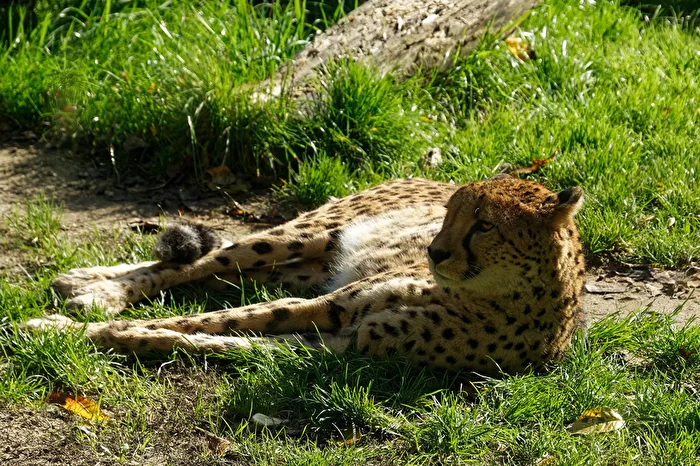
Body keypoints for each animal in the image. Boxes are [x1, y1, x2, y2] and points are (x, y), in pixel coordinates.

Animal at [24, 174, 586, 375]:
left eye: (485, 225)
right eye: (450, 214)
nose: (434, 250)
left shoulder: (346, 339)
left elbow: (216, 335)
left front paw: (113, 333)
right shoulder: (336, 306)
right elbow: (210, 321)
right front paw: (65, 327)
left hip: (308, 269)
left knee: (217, 276)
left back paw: (90, 290)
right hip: (310, 234)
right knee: (211, 257)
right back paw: (92, 287)